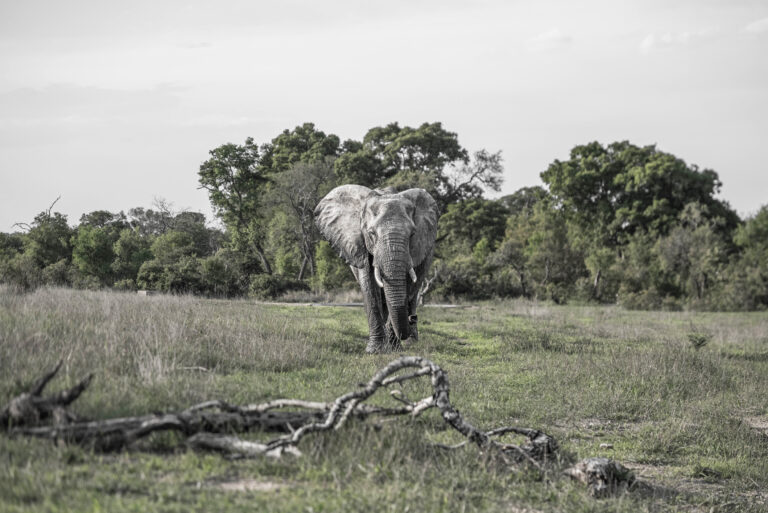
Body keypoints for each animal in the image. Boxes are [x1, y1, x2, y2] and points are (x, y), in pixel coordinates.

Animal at [316, 185, 438, 352]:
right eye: (371, 233)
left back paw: (410, 341)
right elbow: (369, 286)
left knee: (412, 293)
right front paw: (375, 350)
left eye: (413, 234)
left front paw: (394, 349)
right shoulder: (360, 245)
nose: (412, 318)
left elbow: (407, 286)